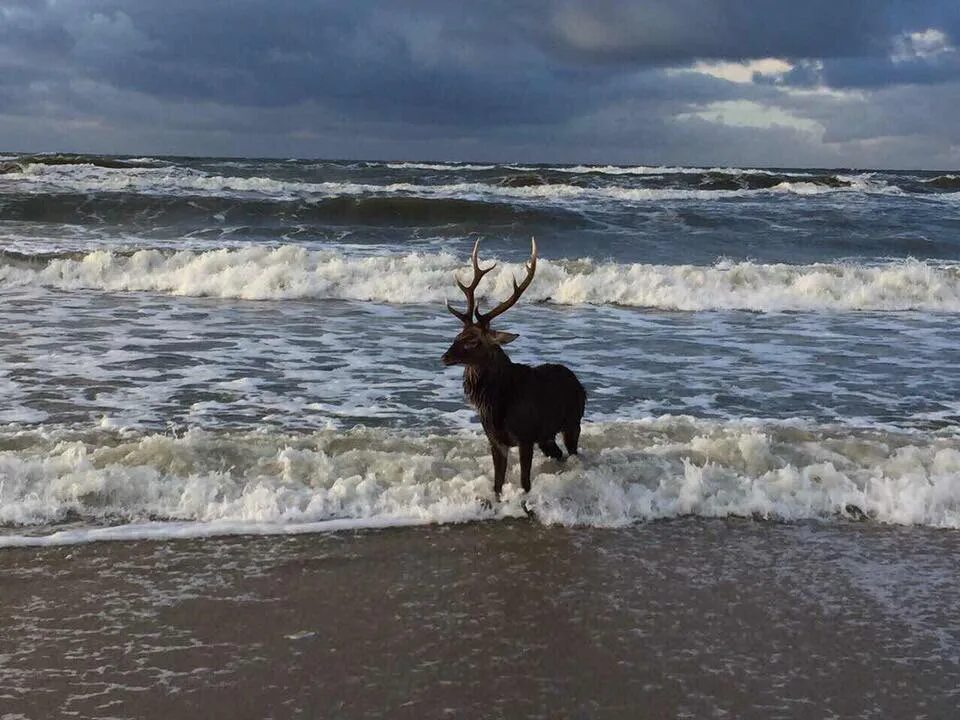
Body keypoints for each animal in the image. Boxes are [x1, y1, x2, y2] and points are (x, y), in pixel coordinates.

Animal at [440, 239, 584, 510]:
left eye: (473, 340)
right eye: (457, 335)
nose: (444, 356)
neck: (496, 404)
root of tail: (580, 383)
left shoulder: (525, 437)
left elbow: (525, 483)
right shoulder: (496, 440)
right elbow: (497, 485)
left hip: (573, 422)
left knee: (572, 452)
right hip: (546, 436)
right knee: (558, 453)